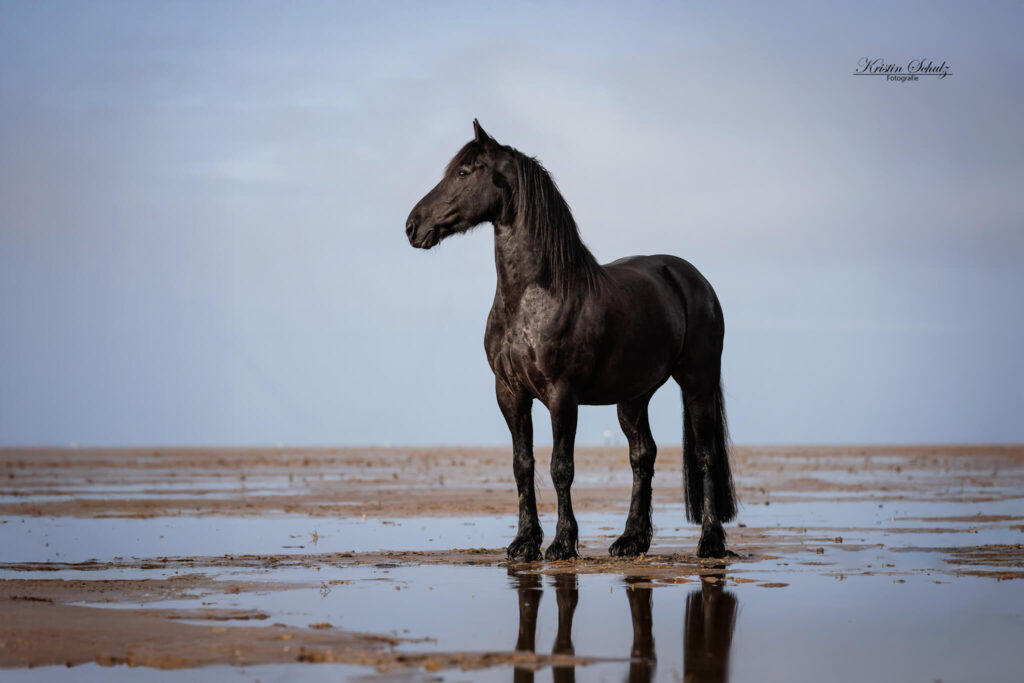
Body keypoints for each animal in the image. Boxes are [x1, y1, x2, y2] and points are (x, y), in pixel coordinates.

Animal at [405, 120, 737, 560]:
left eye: (462, 172)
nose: (412, 226)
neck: (535, 294)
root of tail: (693, 280)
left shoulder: (562, 395)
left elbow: (561, 466)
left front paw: (562, 543)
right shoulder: (509, 393)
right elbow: (522, 465)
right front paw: (524, 542)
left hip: (697, 382)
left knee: (703, 455)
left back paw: (710, 541)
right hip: (633, 397)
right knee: (642, 455)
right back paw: (631, 540)